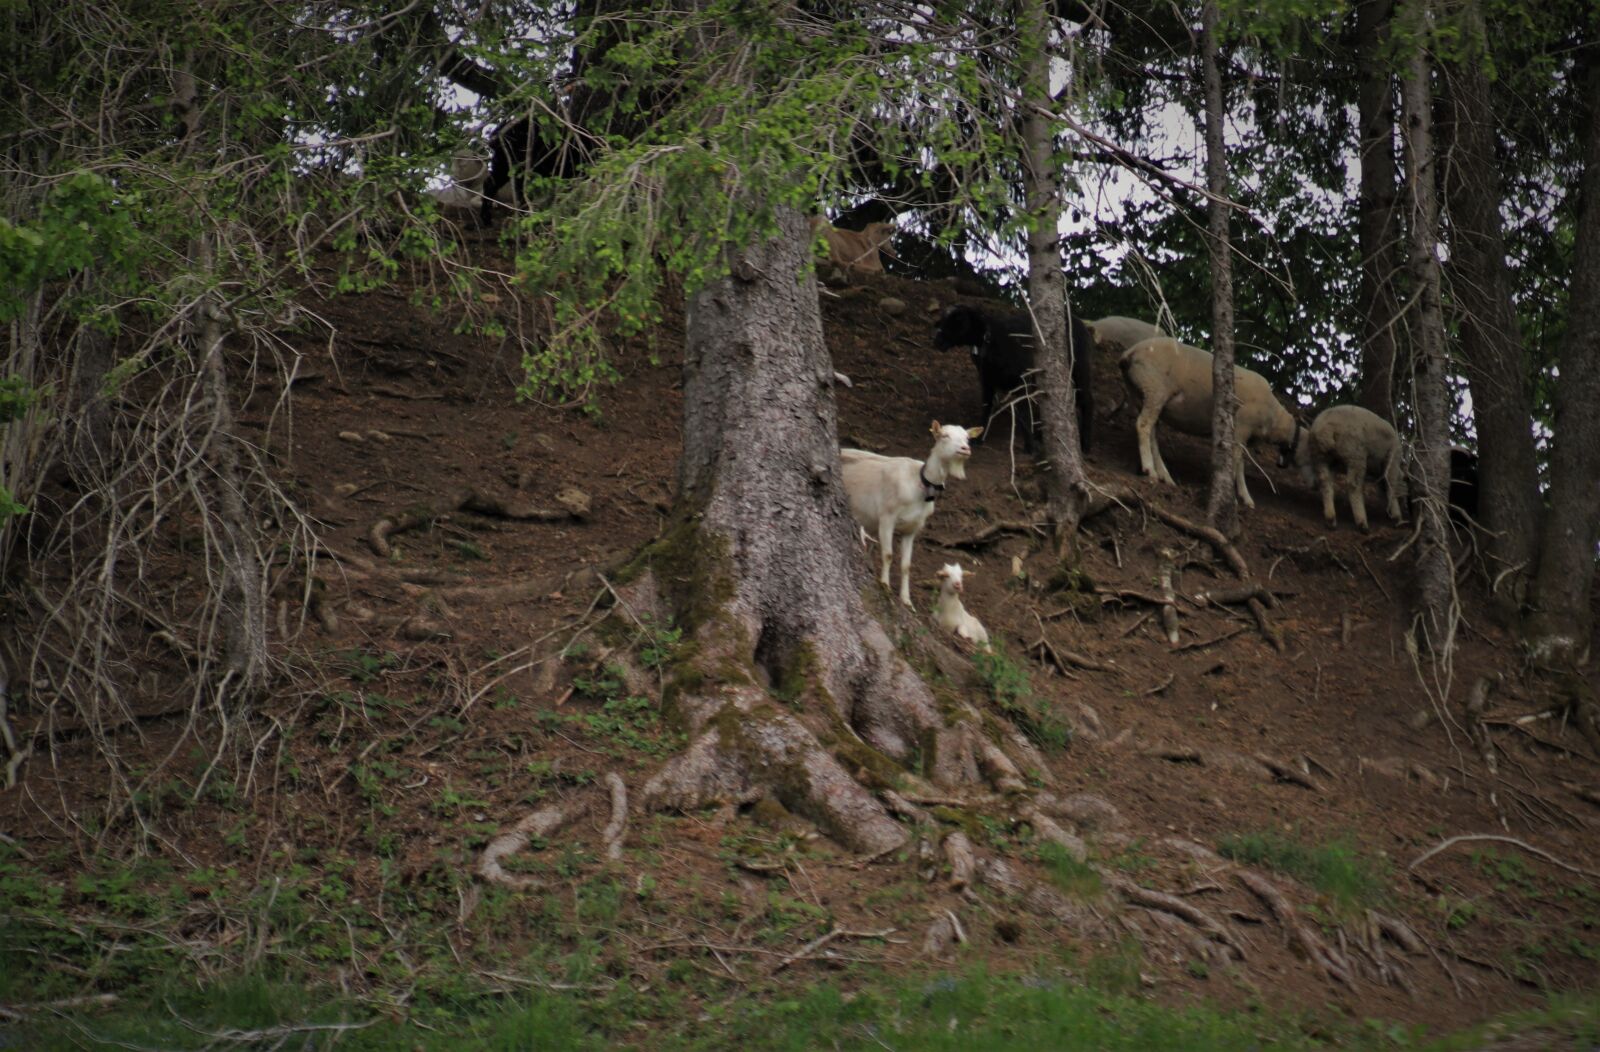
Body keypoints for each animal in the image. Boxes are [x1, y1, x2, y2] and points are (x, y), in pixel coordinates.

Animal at [840, 422, 980, 608]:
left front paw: (906, 600)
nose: (965, 449)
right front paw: (885, 586)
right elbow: (888, 554)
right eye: (944, 435)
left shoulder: (912, 528)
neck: (918, 484)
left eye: (967, 437)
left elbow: (906, 565)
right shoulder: (887, 516)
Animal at [932, 305, 1094, 454]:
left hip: (1080, 366)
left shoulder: (1021, 380)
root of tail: (1079, 321)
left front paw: (1029, 447)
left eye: (959, 320)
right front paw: (979, 437)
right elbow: (987, 406)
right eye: (942, 320)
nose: (937, 341)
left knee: (1087, 400)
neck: (992, 341)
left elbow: (1024, 412)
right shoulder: (987, 379)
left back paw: (1085, 444)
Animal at [1119, 336, 1297, 508]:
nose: (1281, 465)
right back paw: (1150, 469)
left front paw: (1245, 497)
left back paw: (1164, 475)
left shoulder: (1243, 437)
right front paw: (1232, 498)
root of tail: (1130, 352)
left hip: (1141, 394)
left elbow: (1240, 464)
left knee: (1152, 433)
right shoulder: (1242, 427)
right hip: (1155, 390)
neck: (1274, 416)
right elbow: (1235, 461)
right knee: (1143, 425)